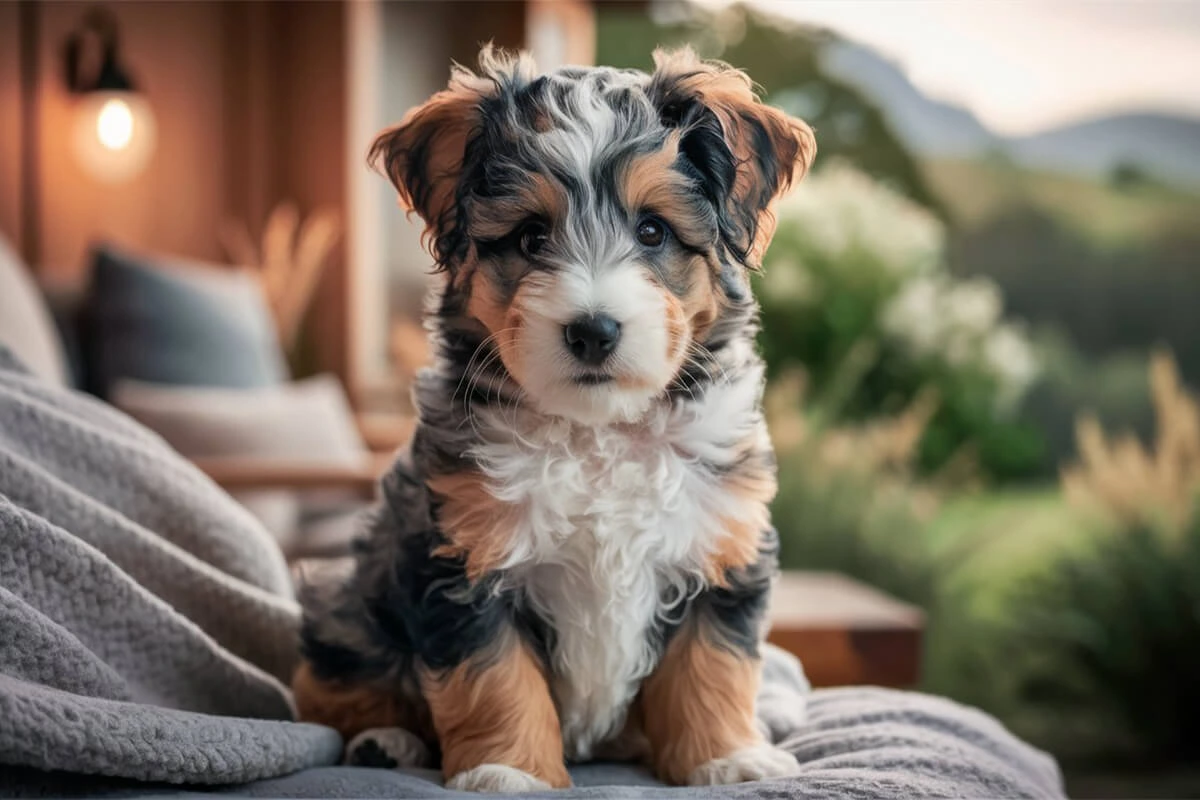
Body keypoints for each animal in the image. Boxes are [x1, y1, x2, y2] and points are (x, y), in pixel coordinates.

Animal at [292, 47, 816, 791]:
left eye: (652, 231)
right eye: (530, 236)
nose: (593, 330)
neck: (597, 431)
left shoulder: (721, 544)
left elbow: (714, 662)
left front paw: (727, 756)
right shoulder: (463, 559)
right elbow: (494, 676)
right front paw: (510, 771)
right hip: (350, 609)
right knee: (336, 686)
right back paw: (384, 743)